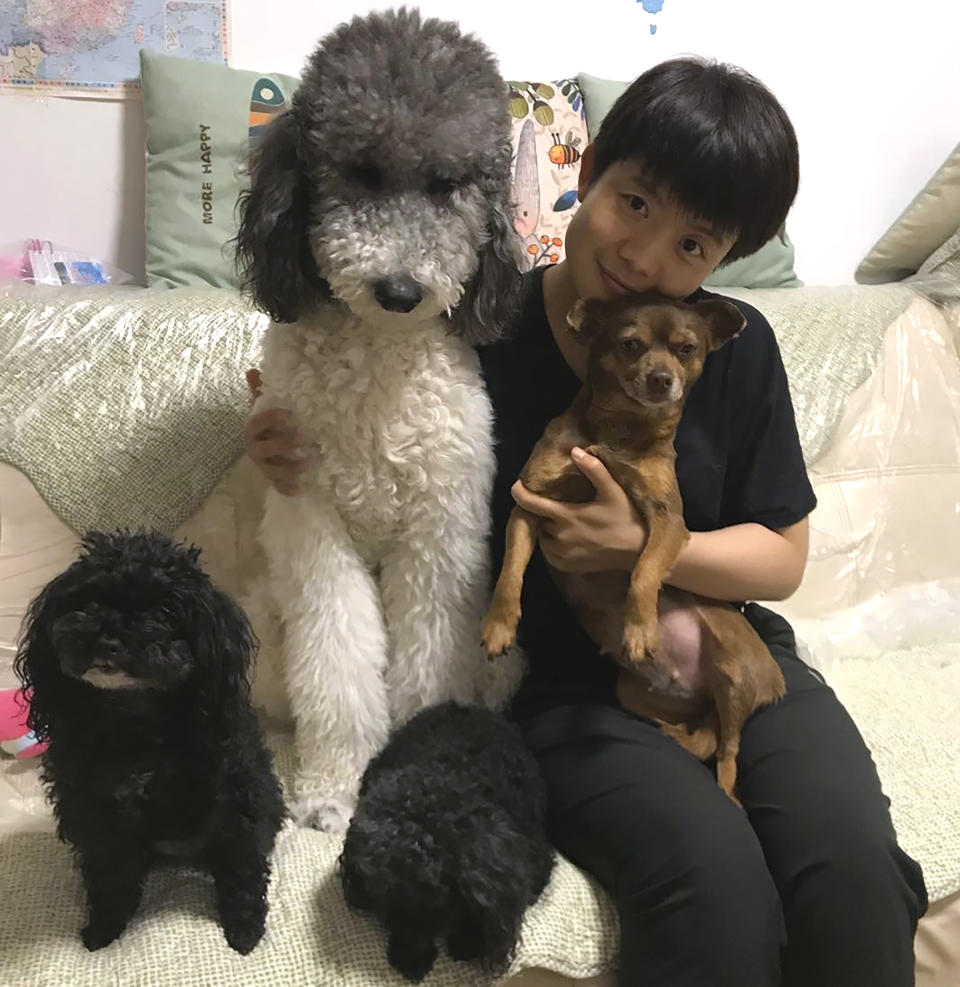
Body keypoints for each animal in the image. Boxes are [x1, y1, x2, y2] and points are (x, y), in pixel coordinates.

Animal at [15, 532, 284, 956]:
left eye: (164, 612)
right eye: (90, 601)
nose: (107, 637)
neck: (135, 721)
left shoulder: (235, 802)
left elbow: (242, 871)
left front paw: (245, 931)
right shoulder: (93, 812)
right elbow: (108, 874)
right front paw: (103, 929)